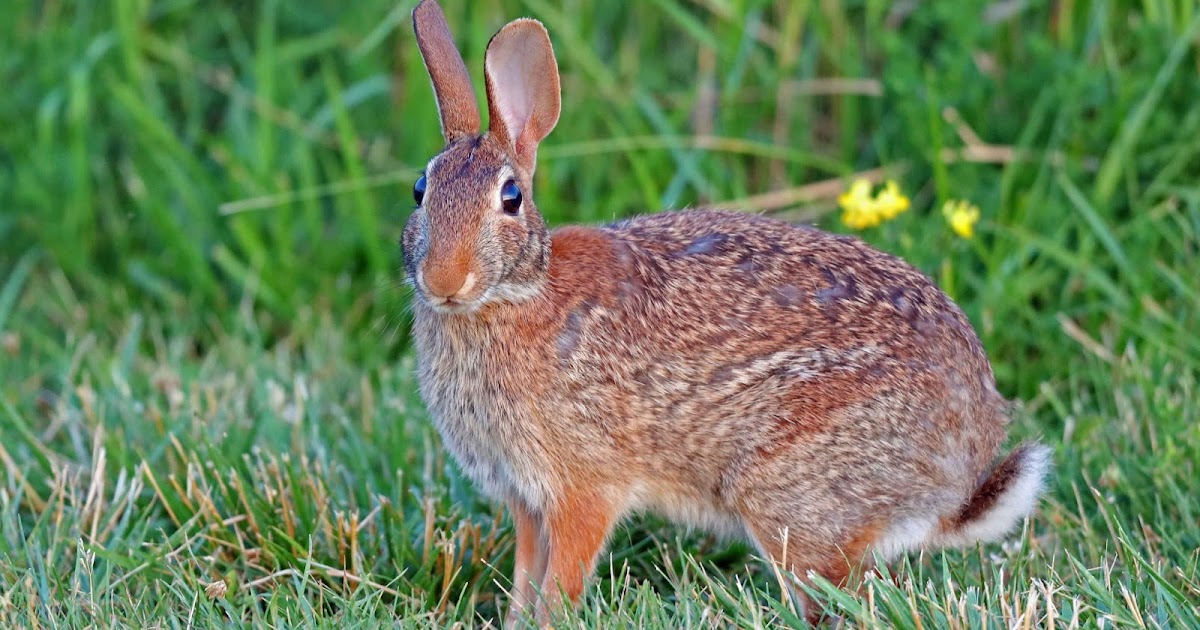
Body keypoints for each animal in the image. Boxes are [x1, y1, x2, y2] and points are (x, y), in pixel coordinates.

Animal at [402, 0, 1051, 625]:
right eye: (419, 189)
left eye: (510, 198)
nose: (444, 280)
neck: (518, 293)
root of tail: (960, 472)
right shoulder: (526, 501)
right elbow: (525, 581)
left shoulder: (583, 490)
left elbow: (558, 586)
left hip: (786, 495)